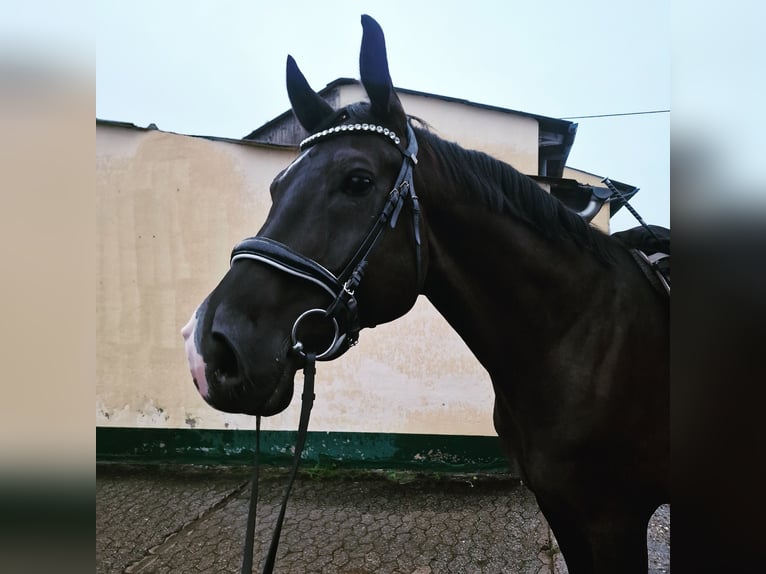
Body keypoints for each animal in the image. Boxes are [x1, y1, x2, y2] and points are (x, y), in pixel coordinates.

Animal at [182, 15, 669, 573]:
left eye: (358, 181)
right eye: (275, 186)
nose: (208, 348)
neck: (577, 337)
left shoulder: (613, 521)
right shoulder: (564, 513)